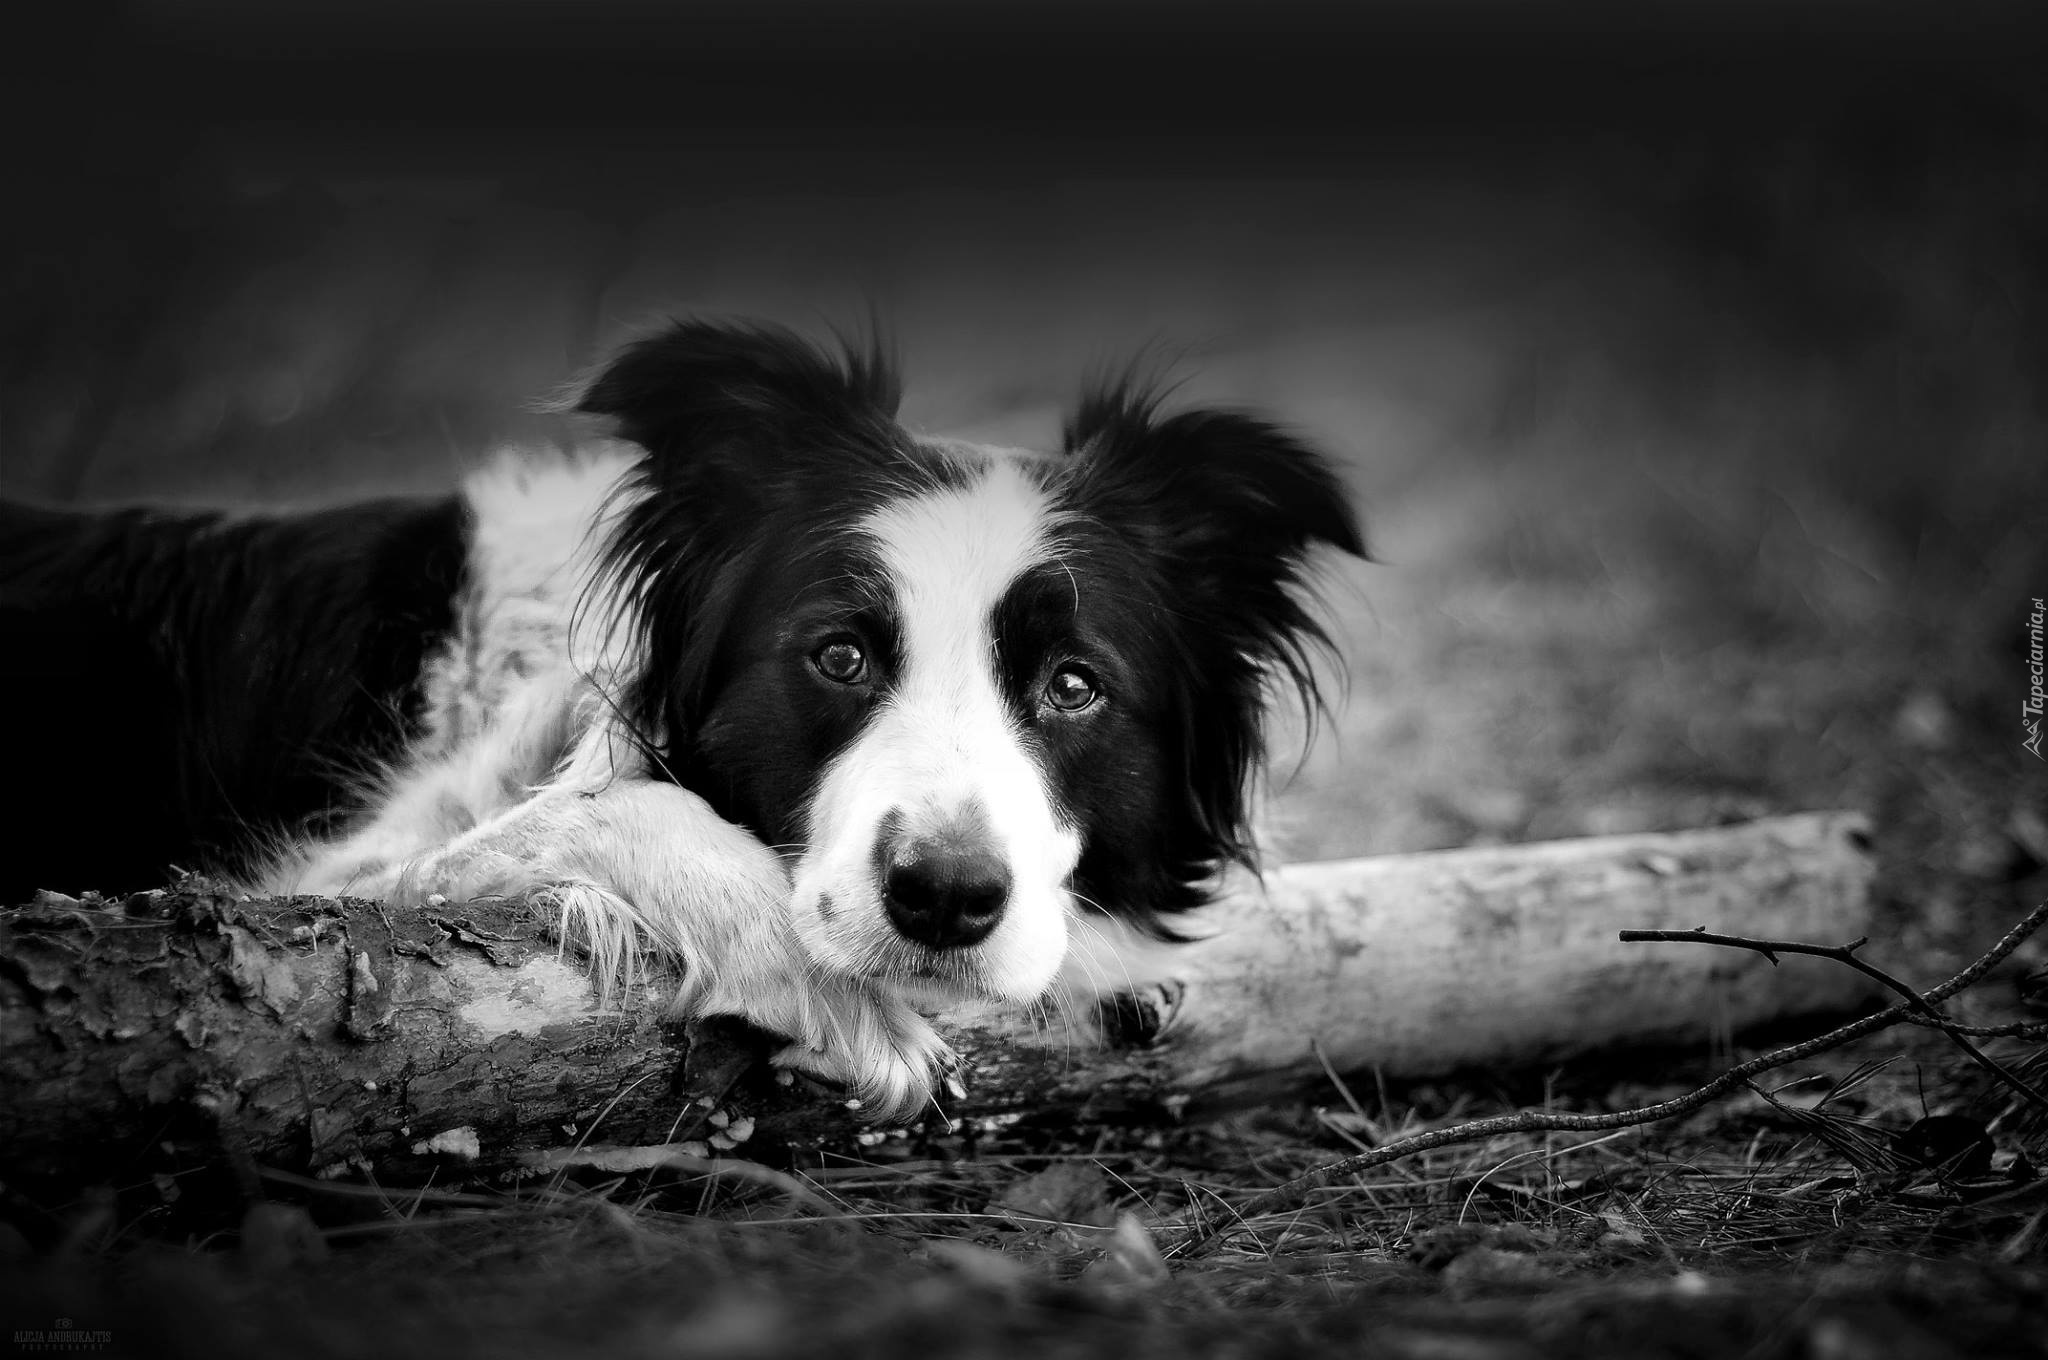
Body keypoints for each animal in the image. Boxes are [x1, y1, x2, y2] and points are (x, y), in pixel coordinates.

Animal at [8, 319, 1368, 1114]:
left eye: (1073, 685)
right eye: (837, 654)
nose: (943, 897)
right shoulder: (317, 884)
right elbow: (608, 806)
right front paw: (835, 991)